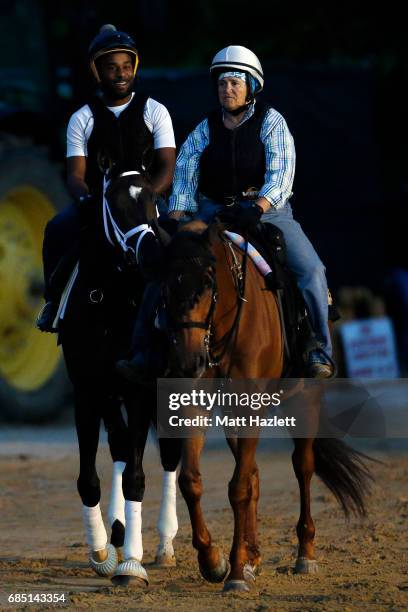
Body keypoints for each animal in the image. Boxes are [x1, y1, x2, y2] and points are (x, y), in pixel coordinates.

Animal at [57, 171, 180, 584]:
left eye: (154, 201)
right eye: (114, 205)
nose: (153, 253)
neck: (109, 299)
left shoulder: (139, 390)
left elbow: (137, 476)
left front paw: (132, 563)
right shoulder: (88, 389)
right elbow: (92, 475)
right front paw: (101, 550)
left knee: (171, 453)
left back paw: (164, 544)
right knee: (121, 446)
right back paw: (117, 530)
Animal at [161, 224, 372, 592]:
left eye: (208, 281)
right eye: (167, 283)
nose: (188, 361)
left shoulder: (252, 409)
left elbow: (239, 489)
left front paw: (233, 573)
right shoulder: (196, 405)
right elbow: (192, 481)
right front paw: (213, 561)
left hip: (304, 400)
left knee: (303, 466)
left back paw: (304, 555)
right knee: (255, 473)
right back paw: (253, 558)